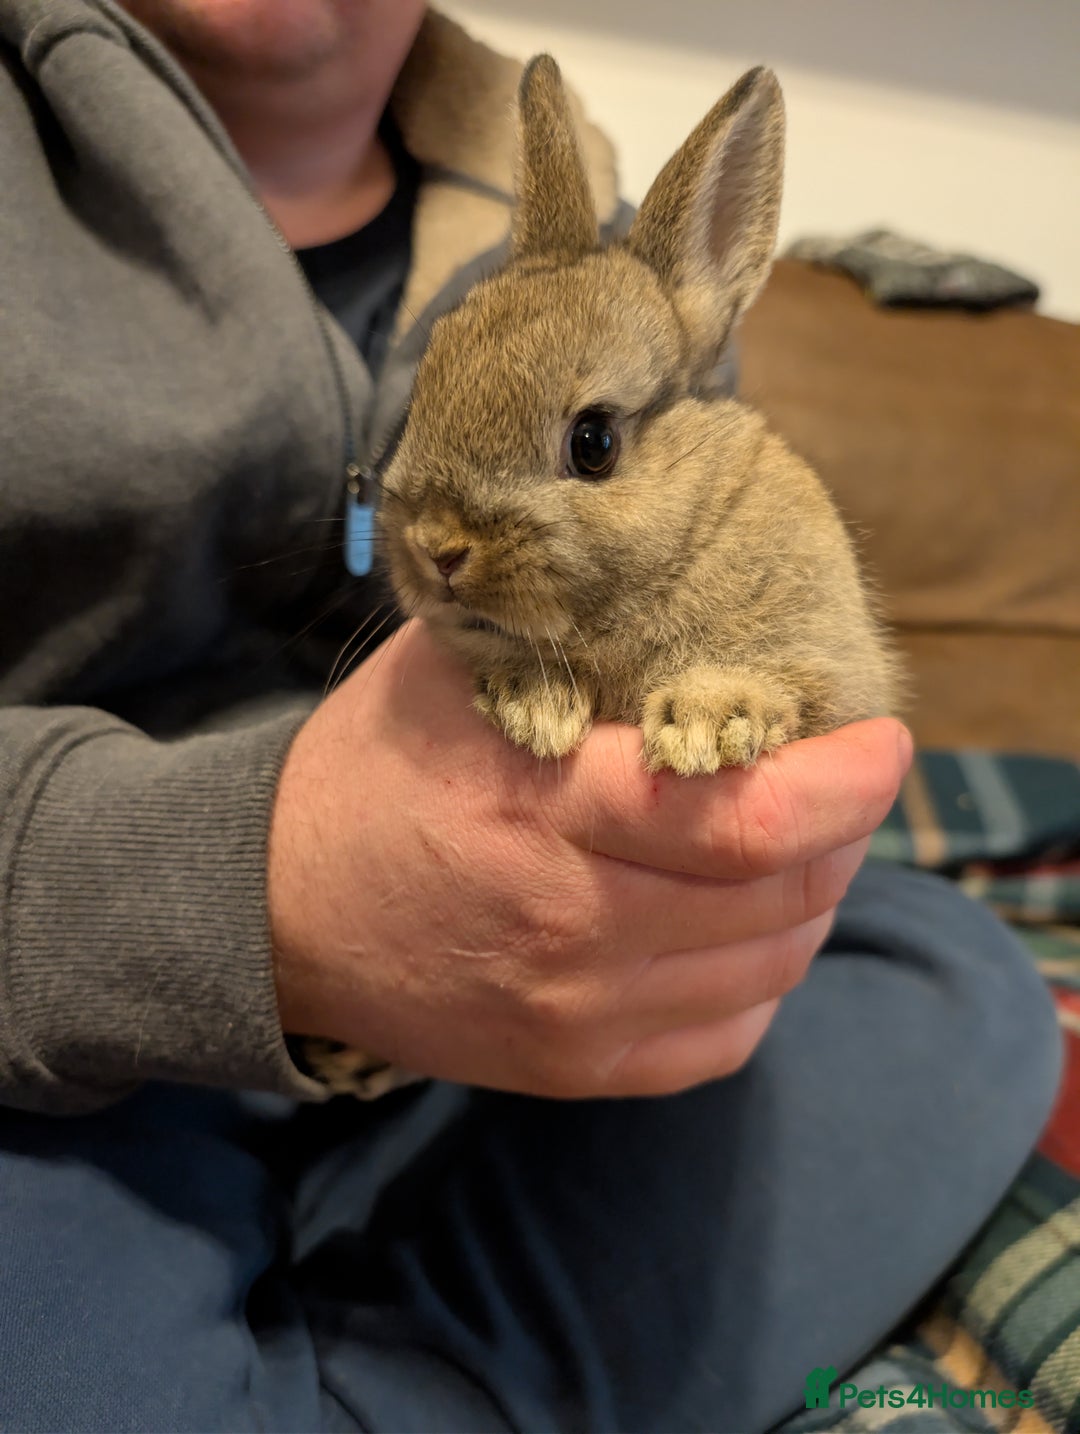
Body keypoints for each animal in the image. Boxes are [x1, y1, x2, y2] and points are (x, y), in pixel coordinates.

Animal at [378, 56, 898, 779]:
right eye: (422, 394)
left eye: (593, 442)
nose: (437, 549)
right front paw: (535, 703)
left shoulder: (831, 666)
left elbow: (782, 684)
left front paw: (705, 724)